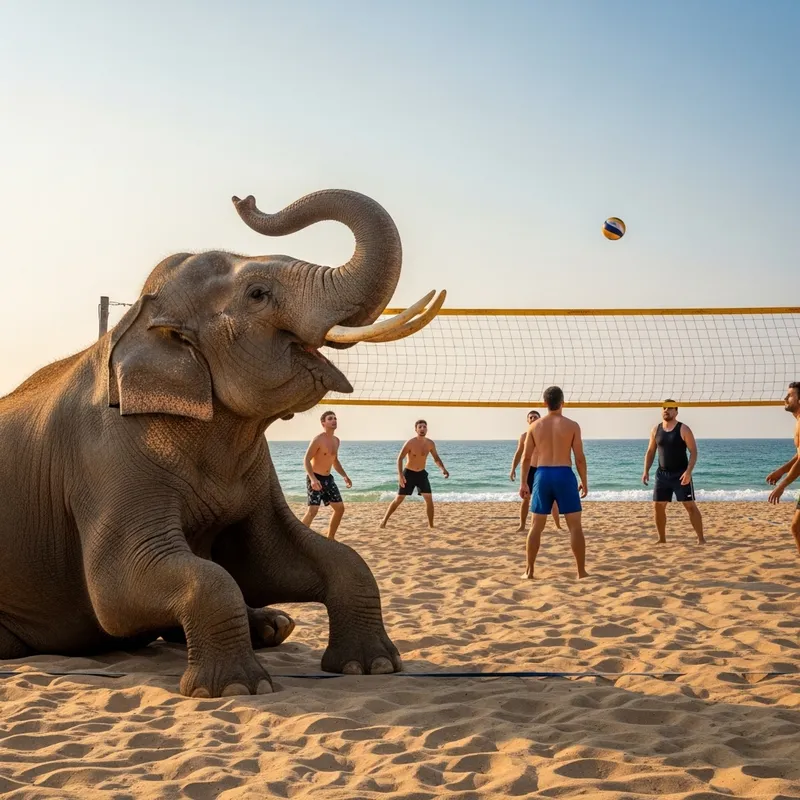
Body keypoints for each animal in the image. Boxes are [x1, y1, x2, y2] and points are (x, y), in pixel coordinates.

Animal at [0, 189, 444, 698]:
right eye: (258, 294)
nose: (244, 198)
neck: (137, 319)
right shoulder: (105, 461)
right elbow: (121, 589)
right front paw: (236, 689)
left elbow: (277, 558)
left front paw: (370, 666)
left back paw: (273, 626)